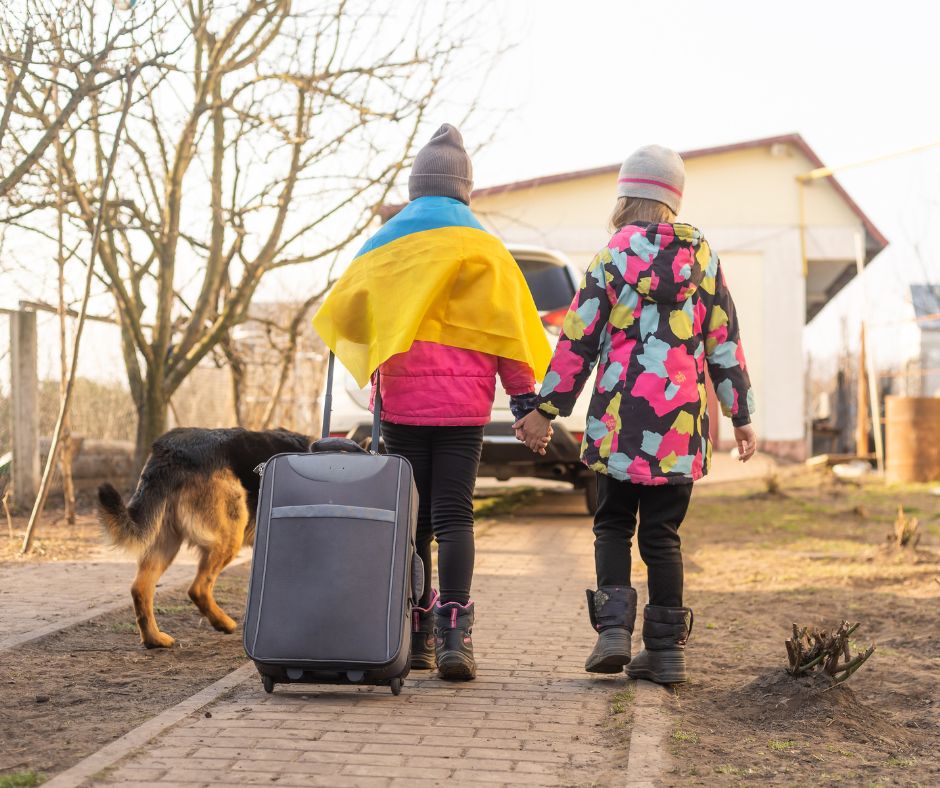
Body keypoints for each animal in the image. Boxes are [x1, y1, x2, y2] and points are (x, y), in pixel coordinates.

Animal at [101, 428, 310, 648]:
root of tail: (170, 447)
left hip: (166, 543)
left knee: (140, 589)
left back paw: (154, 639)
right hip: (230, 536)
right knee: (198, 589)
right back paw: (224, 623)